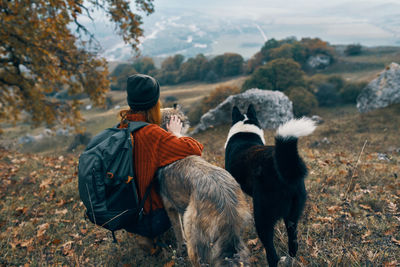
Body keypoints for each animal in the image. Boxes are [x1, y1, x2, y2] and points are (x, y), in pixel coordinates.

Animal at [225, 104, 316, 267]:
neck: (244, 131)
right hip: (292, 217)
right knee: (293, 244)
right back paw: (289, 259)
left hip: (262, 217)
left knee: (272, 254)